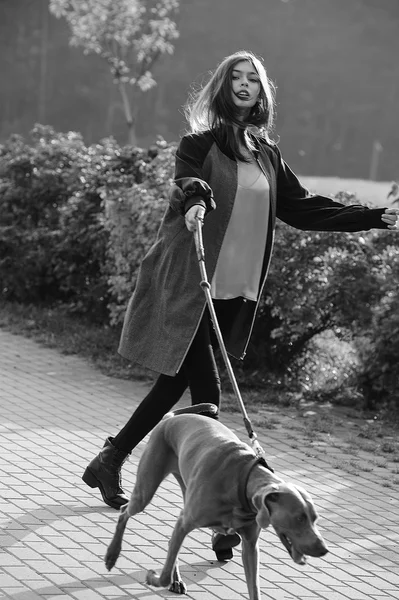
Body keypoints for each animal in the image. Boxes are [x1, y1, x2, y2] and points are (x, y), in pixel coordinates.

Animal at [104, 404, 330, 600]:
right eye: (299, 517)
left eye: (314, 518)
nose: (323, 549)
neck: (241, 479)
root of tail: (170, 418)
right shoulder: (187, 521)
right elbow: (164, 574)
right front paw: (153, 578)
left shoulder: (250, 545)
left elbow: (254, 587)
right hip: (146, 490)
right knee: (125, 511)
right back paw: (112, 555)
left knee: (170, 542)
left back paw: (175, 580)